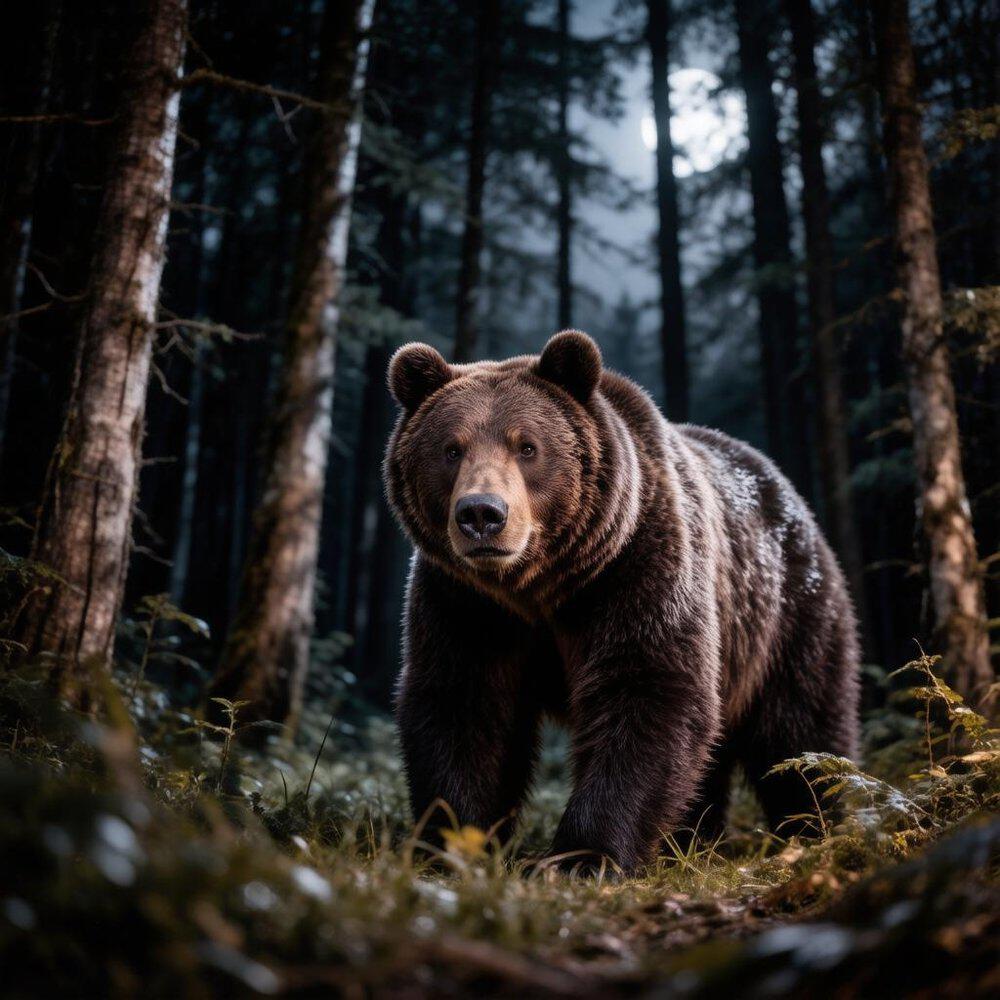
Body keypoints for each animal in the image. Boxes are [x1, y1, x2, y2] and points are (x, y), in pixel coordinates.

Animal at [384, 330, 859, 874]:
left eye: (527, 446)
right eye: (451, 449)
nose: (482, 514)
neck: (539, 588)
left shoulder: (637, 567)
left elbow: (646, 690)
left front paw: (580, 856)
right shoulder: (466, 602)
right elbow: (462, 706)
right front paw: (453, 845)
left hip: (786, 615)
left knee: (802, 731)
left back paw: (812, 827)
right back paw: (691, 841)